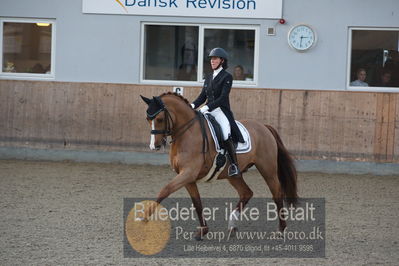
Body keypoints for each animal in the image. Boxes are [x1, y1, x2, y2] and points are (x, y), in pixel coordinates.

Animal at [140, 92, 296, 239]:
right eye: (148, 119)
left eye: (160, 119)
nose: (154, 146)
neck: (187, 133)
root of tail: (264, 127)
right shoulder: (187, 177)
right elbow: (197, 203)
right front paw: (203, 231)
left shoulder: (188, 173)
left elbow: (165, 190)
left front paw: (145, 217)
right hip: (233, 175)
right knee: (246, 193)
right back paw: (232, 226)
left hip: (267, 169)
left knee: (277, 194)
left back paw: (281, 230)